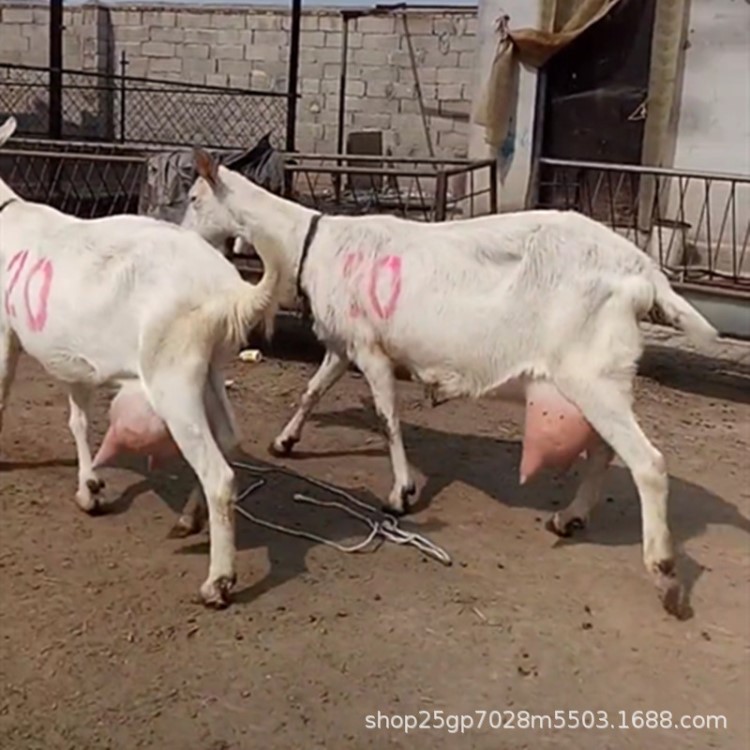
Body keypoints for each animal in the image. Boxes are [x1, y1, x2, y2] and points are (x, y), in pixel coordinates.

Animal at [0, 119, 280, 612]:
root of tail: (232, 292)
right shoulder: (73, 357)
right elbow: (77, 419)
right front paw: (89, 490)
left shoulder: (3, 327)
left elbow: (1, 388)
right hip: (210, 368)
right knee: (228, 437)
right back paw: (189, 519)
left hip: (174, 371)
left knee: (218, 473)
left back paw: (218, 583)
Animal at [184, 150, 724, 620]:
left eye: (193, 197)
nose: (182, 233)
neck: (309, 242)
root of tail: (644, 272)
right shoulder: (345, 343)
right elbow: (312, 391)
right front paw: (284, 441)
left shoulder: (371, 349)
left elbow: (387, 417)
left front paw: (401, 493)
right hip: (597, 377)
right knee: (606, 451)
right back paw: (570, 516)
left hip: (593, 373)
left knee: (647, 462)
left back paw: (664, 575)